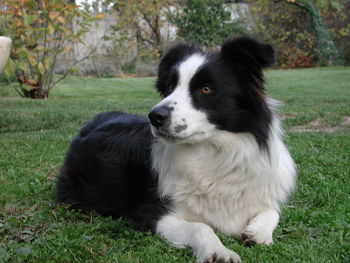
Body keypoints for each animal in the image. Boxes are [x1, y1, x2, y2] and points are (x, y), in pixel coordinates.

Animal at [56, 37, 296, 263]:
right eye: (170, 88)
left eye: (206, 88)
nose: (155, 116)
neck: (214, 154)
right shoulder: (154, 215)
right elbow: (200, 226)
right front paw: (218, 251)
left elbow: (272, 211)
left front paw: (257, 232)